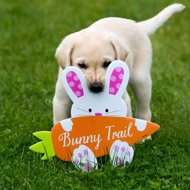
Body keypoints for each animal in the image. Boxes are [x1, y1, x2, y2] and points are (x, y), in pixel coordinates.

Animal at [52, 3, 185, 125]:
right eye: (81, 65)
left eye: (107, 63)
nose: (96, 86)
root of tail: (137, 25)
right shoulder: (61, 101)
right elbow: (60, 121)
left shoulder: (123, 99)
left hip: (140, 80)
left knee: (144, 110)